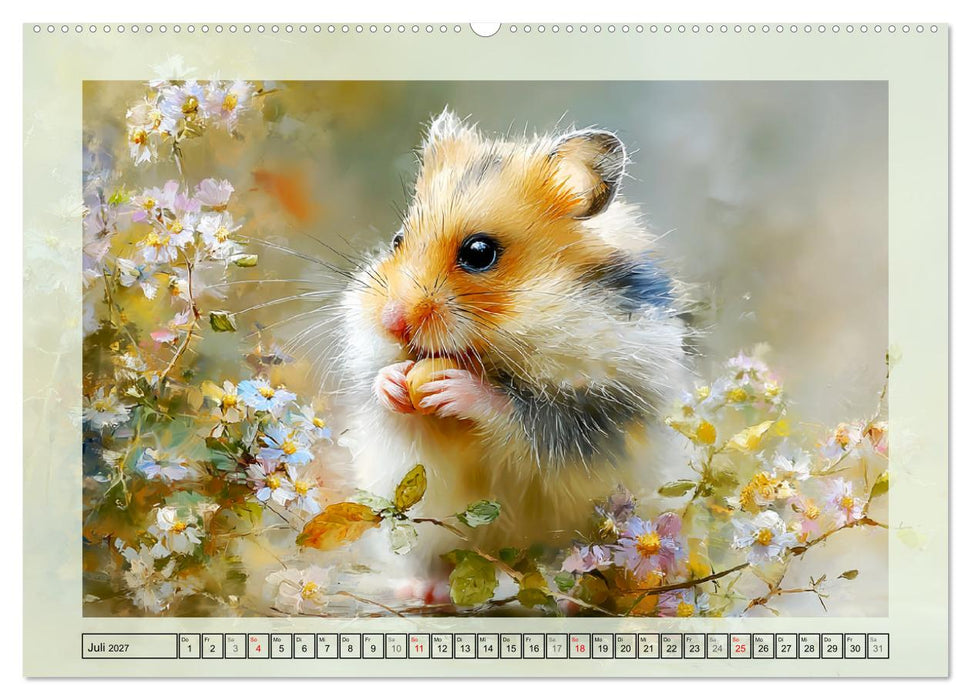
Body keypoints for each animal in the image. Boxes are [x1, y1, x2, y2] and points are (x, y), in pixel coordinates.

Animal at [338, 109, 690, 568]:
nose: (391, 321)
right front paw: (392, 382)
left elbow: (525, 416)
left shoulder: (599, 406)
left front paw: (456, 389)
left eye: (479, 252)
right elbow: (391, 403)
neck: (494, 350)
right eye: (398, 241)